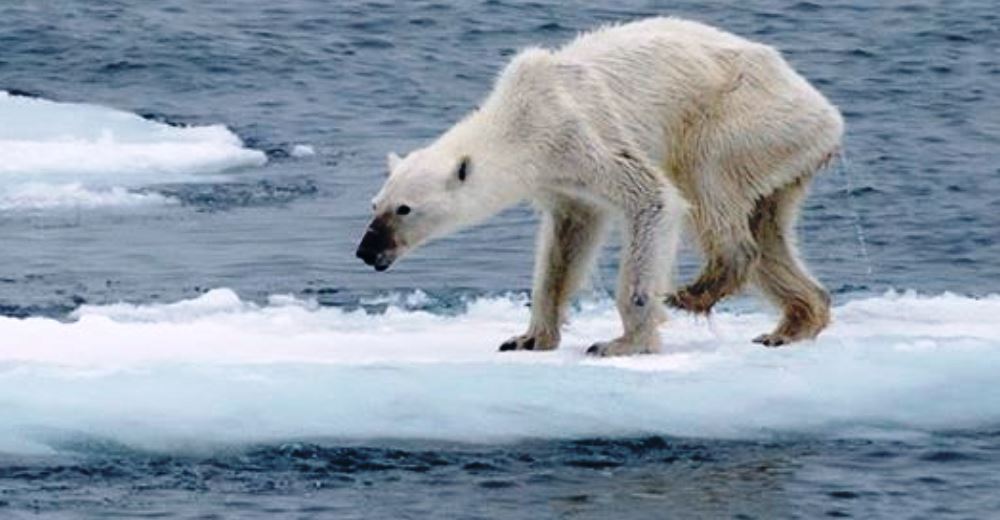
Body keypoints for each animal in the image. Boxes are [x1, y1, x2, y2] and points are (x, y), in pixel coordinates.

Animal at [356, 17, 840, 358]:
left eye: (404, 209)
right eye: (374, 204)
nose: (365, 250)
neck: (520, 118)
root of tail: (828, 114)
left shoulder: (579, 134)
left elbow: (653, 198)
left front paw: (622, 342)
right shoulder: (560, 179)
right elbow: (566, 243)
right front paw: (528, 337)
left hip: (744, 117)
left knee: (707, 179)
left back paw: (698, 290)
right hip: (782, 154)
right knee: (769, 229)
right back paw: (792, 324)